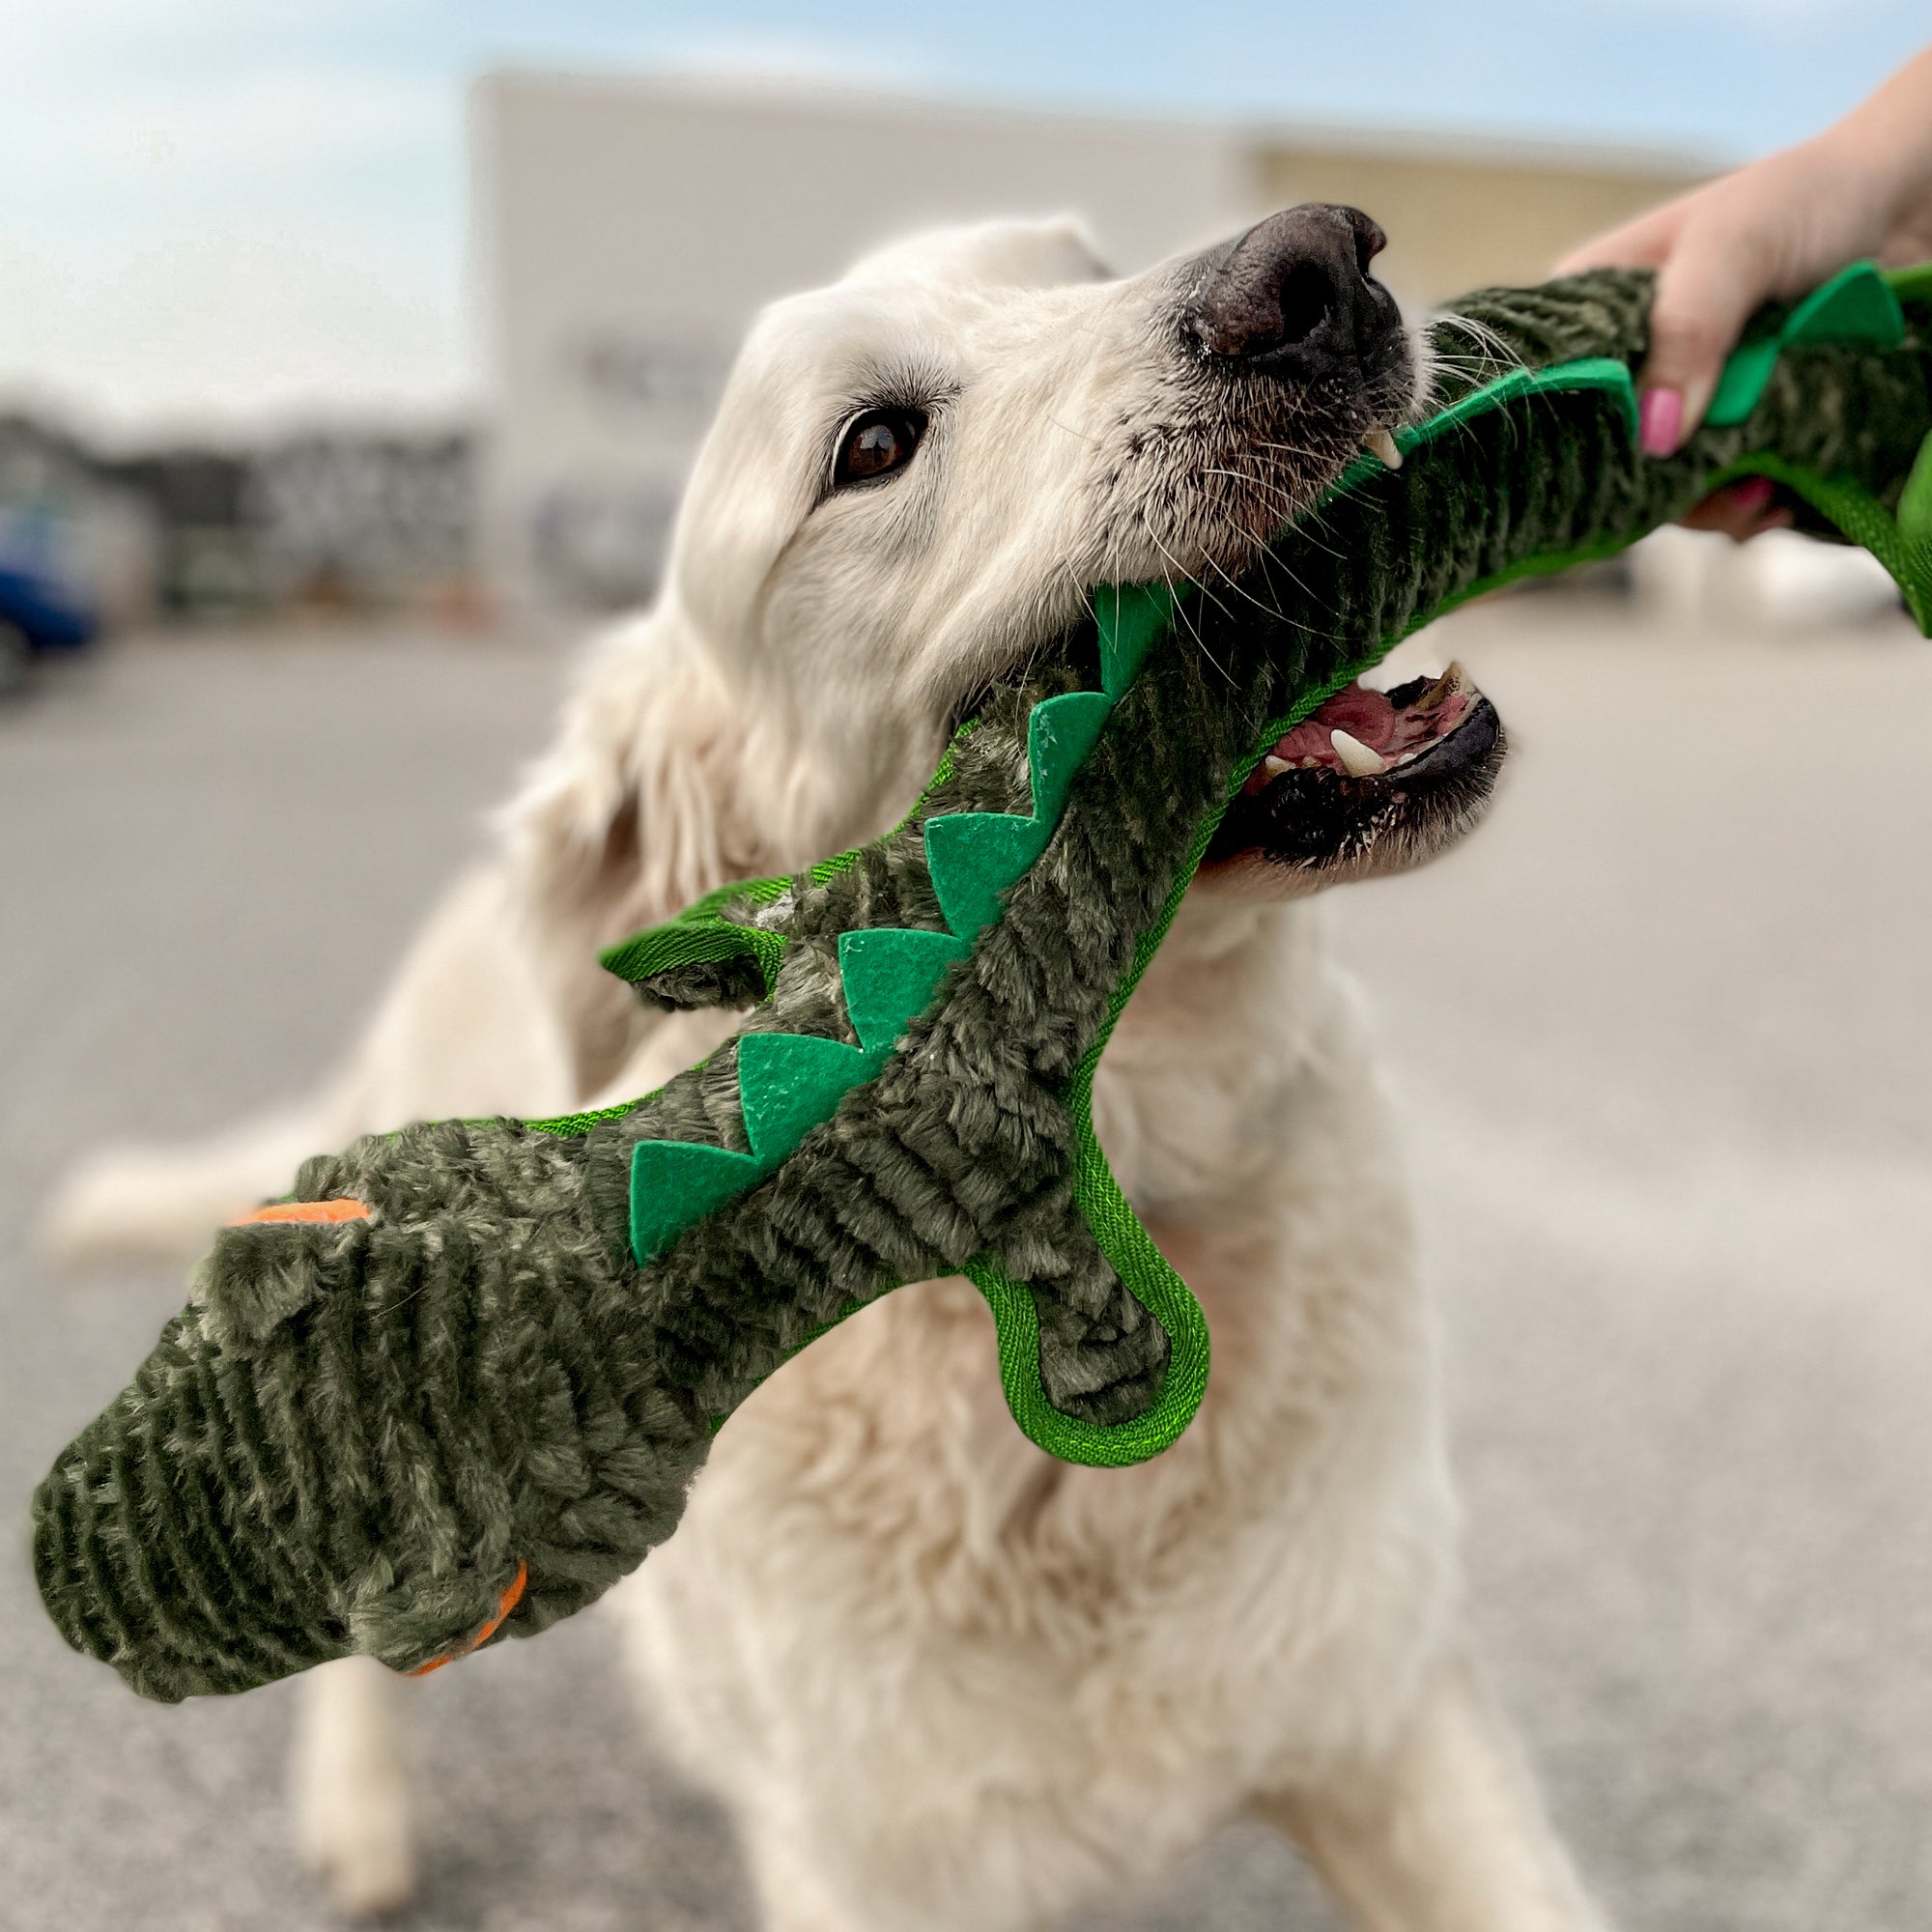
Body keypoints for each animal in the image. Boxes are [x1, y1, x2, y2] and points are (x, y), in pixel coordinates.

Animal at [52, 208, 1607, 1932]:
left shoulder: (1389, 1709)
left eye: (1083, 267)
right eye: (872, 446)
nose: (1318, 270)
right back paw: (358, 1810)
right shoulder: (870, 1854)